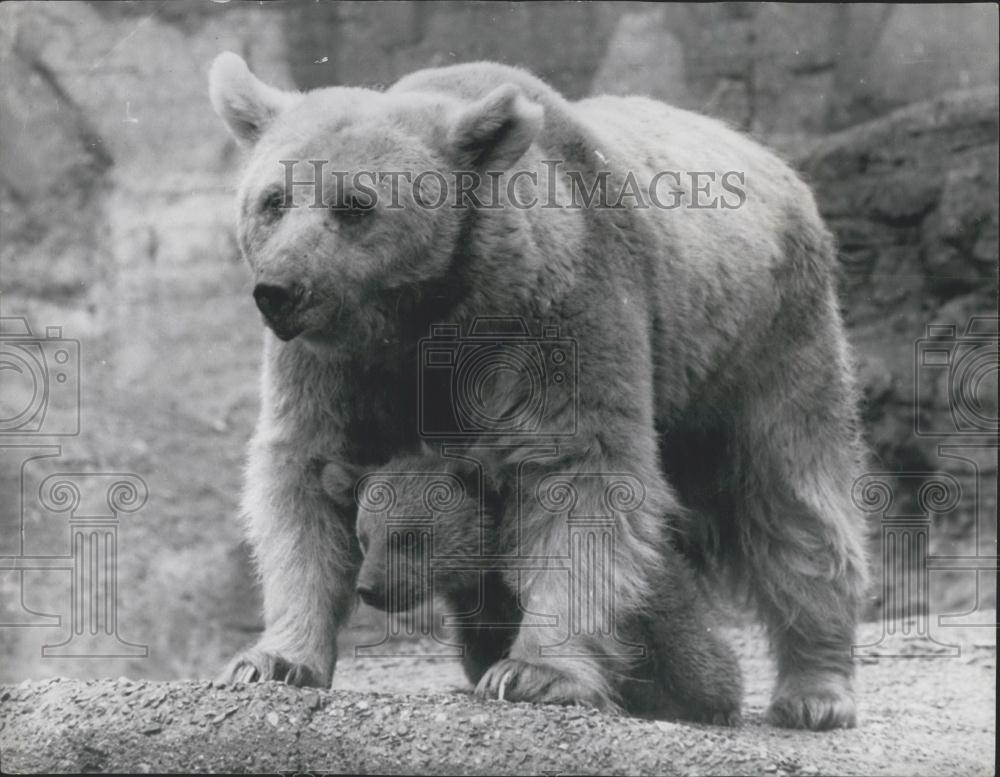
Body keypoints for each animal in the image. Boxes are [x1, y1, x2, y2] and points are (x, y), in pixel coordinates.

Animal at [209, 51, 868, 732]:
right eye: (274, 200)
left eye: (355, 204)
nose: (280, 290)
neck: (431, 315)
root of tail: (768, 156)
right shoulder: (336, 365)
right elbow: (305, 474)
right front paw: (273, 660)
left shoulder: (560, 314)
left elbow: (579, 472)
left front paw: (535, 673)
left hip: (762, 338)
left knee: (793, 493)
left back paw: (815, 691)